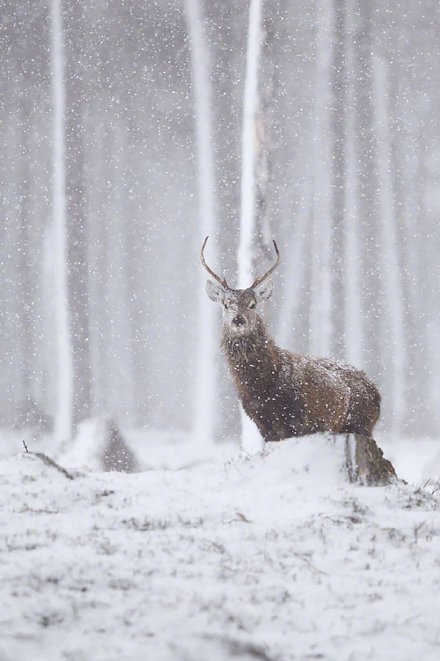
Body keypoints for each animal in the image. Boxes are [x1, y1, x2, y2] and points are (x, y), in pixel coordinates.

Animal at [201, 237, 380, 444]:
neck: (263, 388)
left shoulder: (297, 419)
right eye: (226, 304)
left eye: (252, 305)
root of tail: (377, 392)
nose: (238, 320)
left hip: (362, 424)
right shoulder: (261, 423)